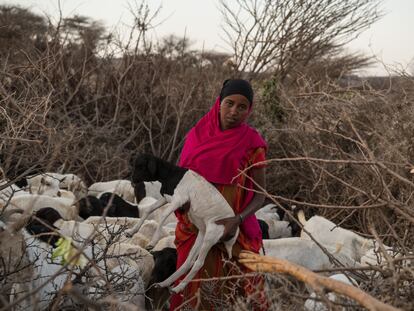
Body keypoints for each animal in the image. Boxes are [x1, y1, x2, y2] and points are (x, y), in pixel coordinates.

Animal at [124, 155, 238, 294]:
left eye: (141, 166)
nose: (132, 180)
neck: (171, 174)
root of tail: (234, 230)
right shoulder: (166, 198)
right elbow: (149, 210)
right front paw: (131, 232)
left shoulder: (179, 200)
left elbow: (163, 215)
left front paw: (153, 242)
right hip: (202, 233)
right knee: (189, 261)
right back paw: (165, 284)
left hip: (211, 236)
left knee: (199, 263)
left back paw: (178, 287)